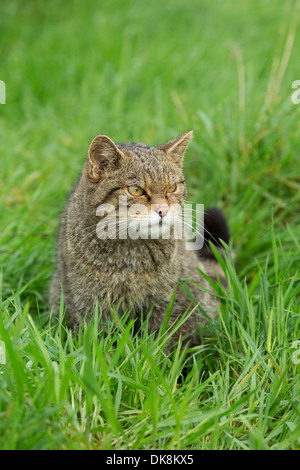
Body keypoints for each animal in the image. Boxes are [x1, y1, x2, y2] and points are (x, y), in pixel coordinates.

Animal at [49, 130, 230, 346]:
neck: (130, 252)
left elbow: (159, 340)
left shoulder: (164, 300)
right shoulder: (90, 303)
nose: (163, 210)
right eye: (135, 190)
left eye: (172, 187)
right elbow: (97, 343)